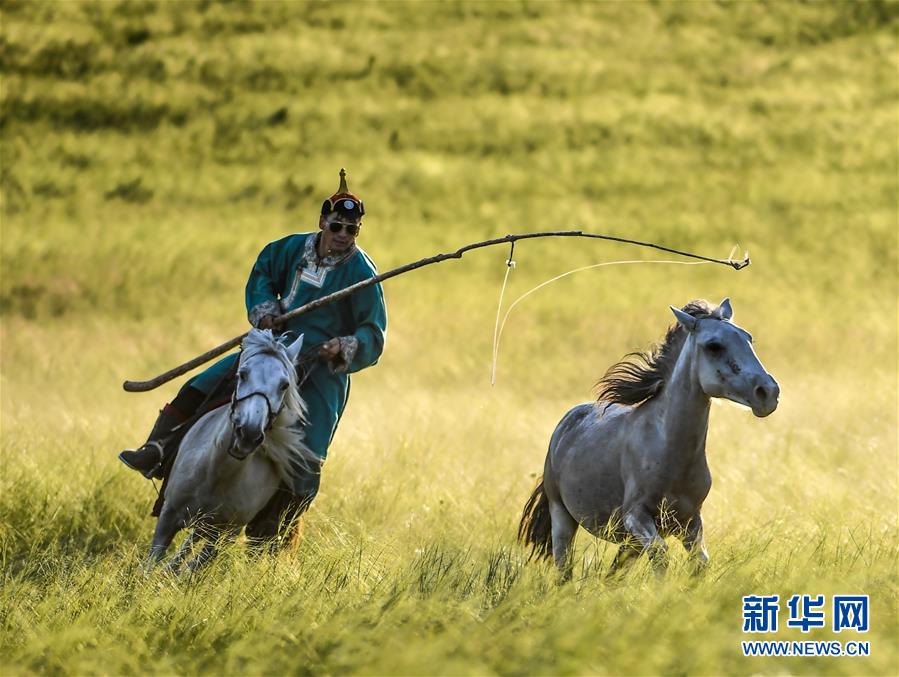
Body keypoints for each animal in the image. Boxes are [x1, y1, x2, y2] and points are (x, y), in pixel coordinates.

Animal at [151, 328, 324, 572]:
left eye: (284, 385)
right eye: (242, 374)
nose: (249, 434)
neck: (216, 473)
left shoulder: (224, 534)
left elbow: (192, 568)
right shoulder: (168, 516)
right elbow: (149, 565)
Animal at [520, 300, 780, 576]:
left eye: (748, 338)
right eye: (714, 345)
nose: (768, 393)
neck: (669, 450)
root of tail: (566, 423)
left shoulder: (690, 520)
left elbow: (699, 562)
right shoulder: (636, 517)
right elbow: (661, 557)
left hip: (630, 542)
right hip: (562, 516)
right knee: (564, 567)